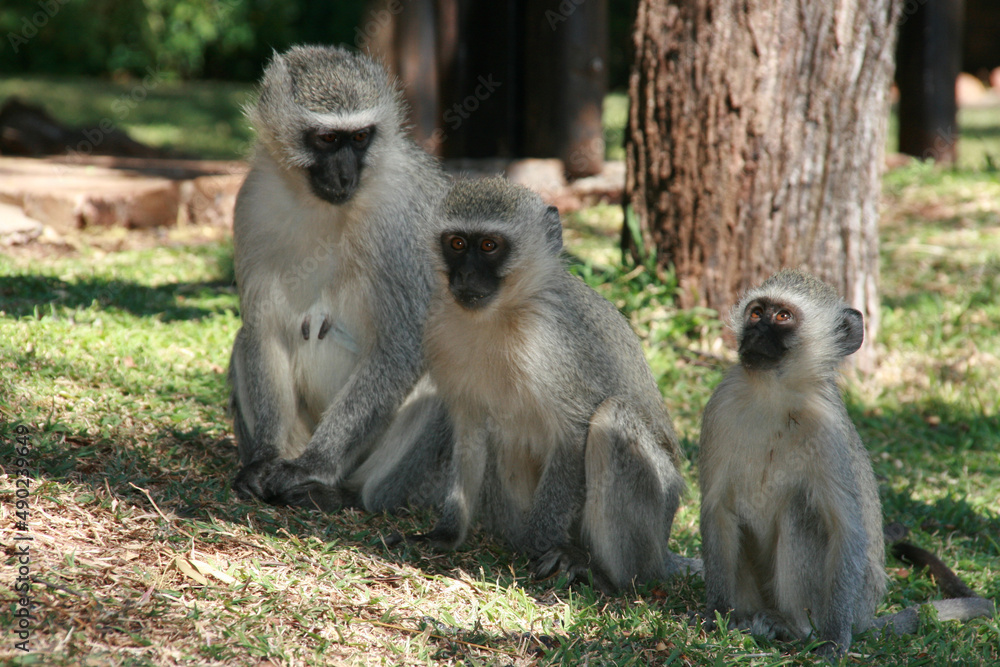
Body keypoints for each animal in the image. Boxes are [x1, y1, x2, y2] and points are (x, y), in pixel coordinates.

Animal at [229, 43, 452, 512]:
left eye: (361, 137)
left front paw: (312, 467)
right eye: (329, 139)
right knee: (245, 338)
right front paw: (265, 459)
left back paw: (343, 492)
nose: (346, 175)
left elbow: (402, 345)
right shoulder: (253, 201)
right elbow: (263, 329)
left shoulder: (402, 215)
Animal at [700, 270, 996, 656]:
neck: (773, 393)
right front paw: (718, 612)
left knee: (802, 512)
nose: (754, 332)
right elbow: (718, 507)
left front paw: (834, 641)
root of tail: (866, 617)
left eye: (782, 316)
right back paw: (747, 617)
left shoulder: (828, 430)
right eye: (756, 312)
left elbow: (847, 529)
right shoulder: (721, 403)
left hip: (855, 599)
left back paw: (796, 627)